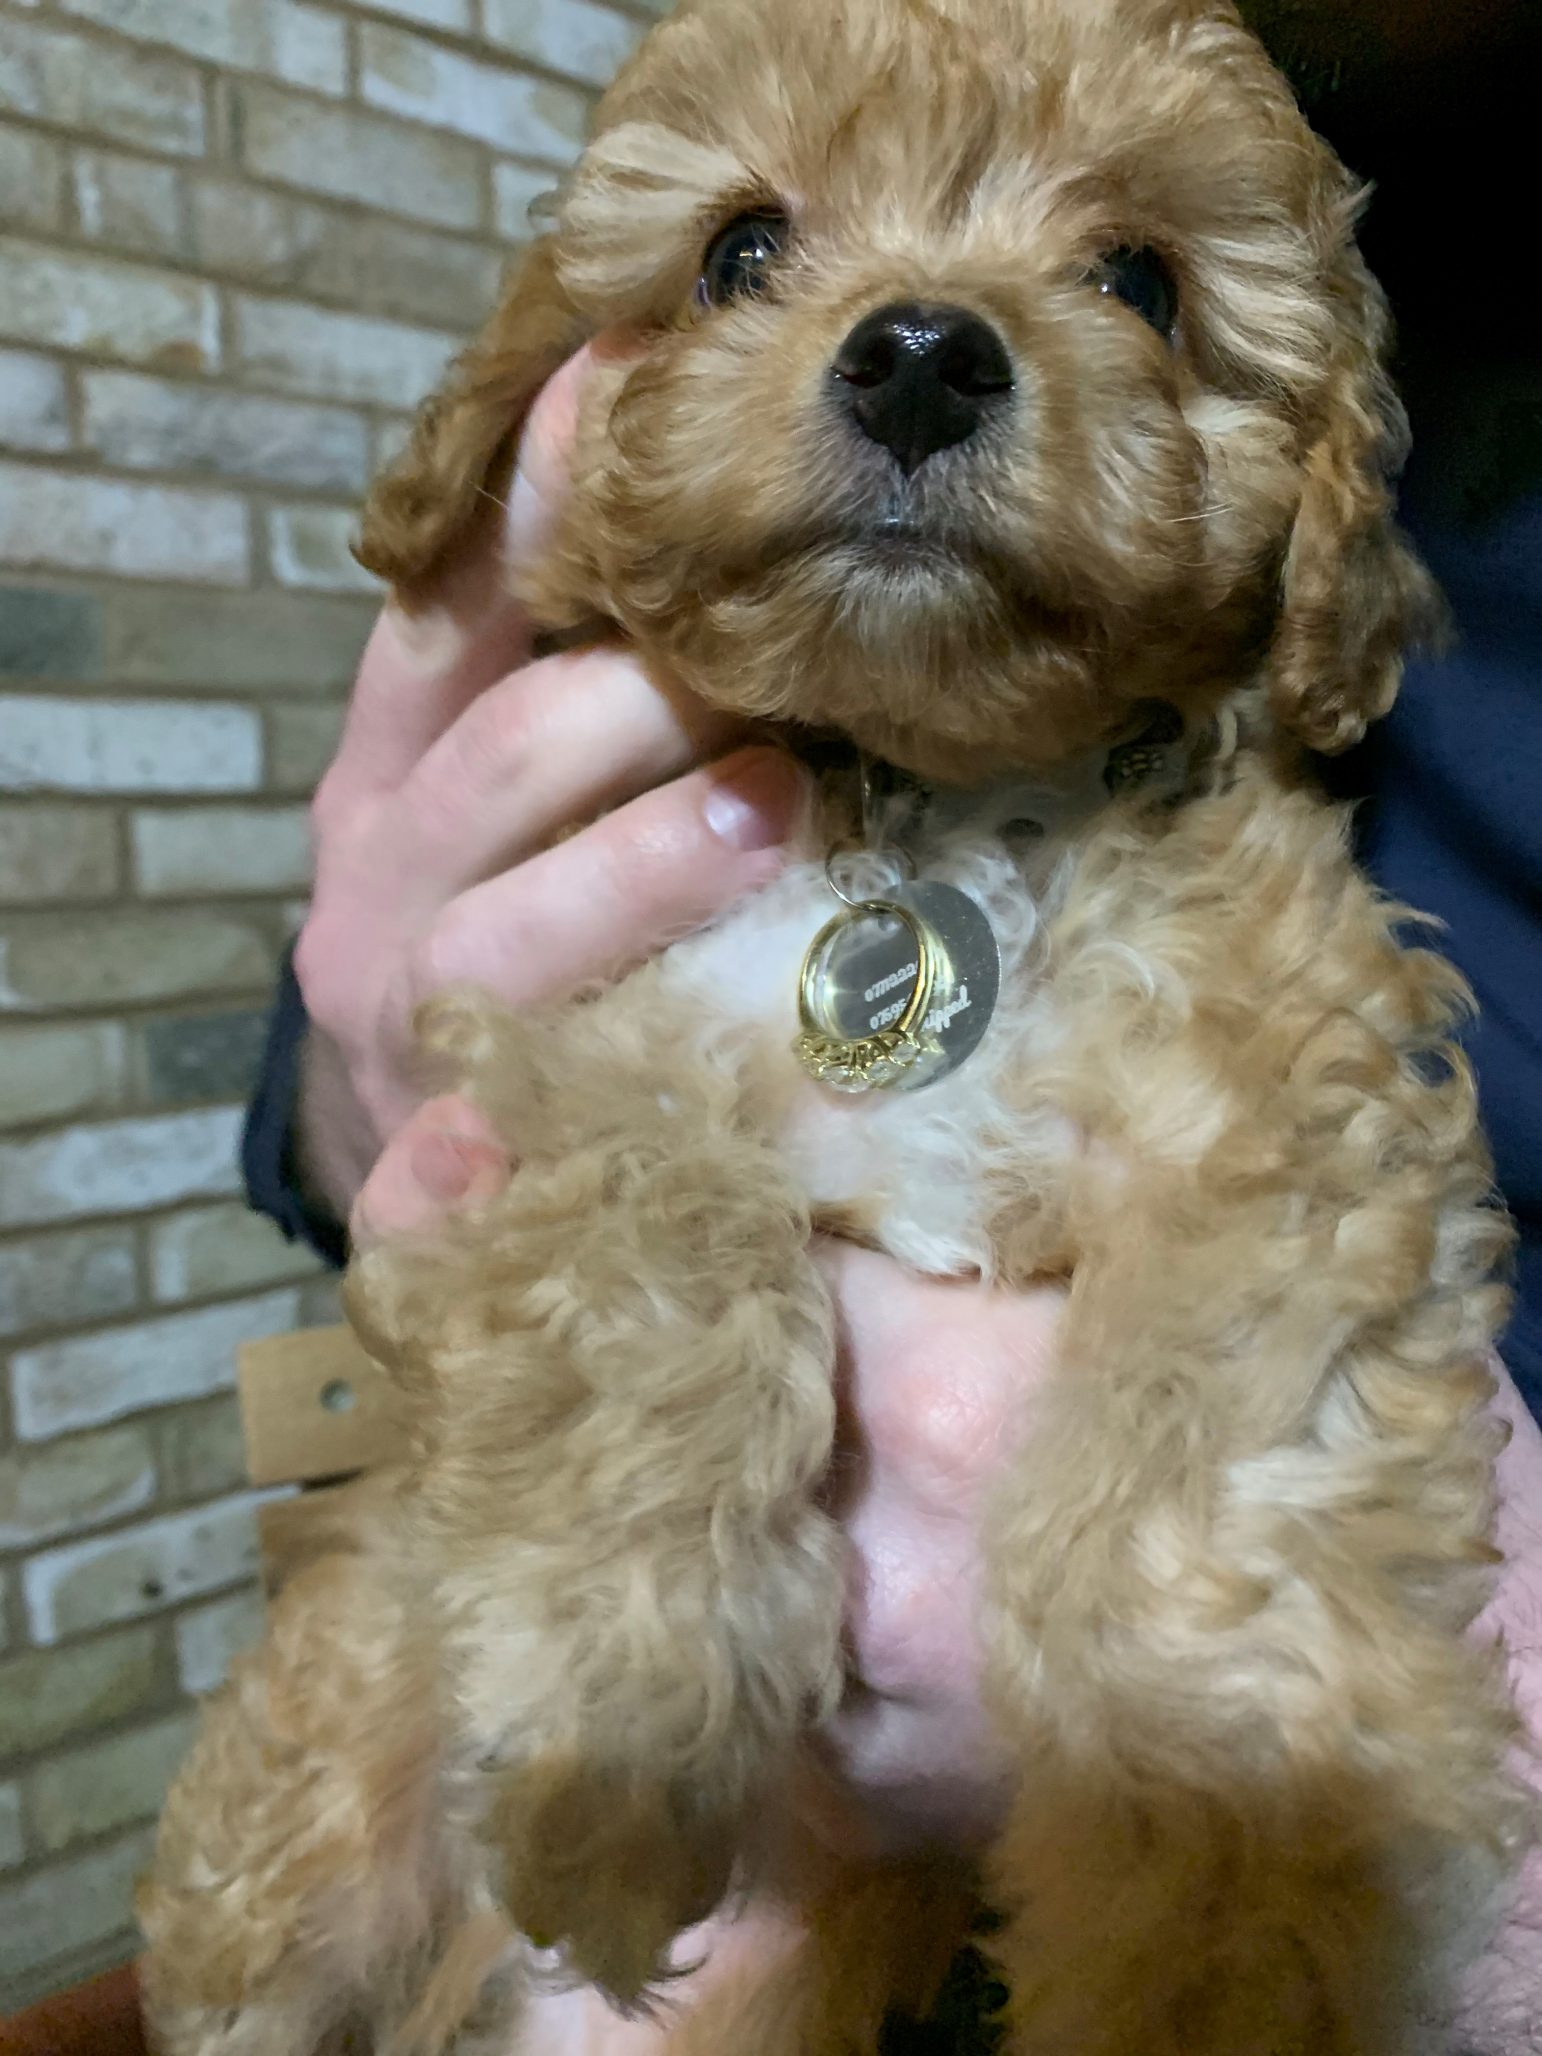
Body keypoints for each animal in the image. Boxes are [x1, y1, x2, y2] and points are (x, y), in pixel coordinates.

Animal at [141, 0, 1537, 2047]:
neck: (931, 792)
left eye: (1141, 280)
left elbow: (1205, 1529)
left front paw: (1213, 1923)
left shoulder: (1289, 1136)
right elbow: (657, 1268)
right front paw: (620, 1744)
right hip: (313, 1793)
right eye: (739, 248)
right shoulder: (575, 1060)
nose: (923, 355)